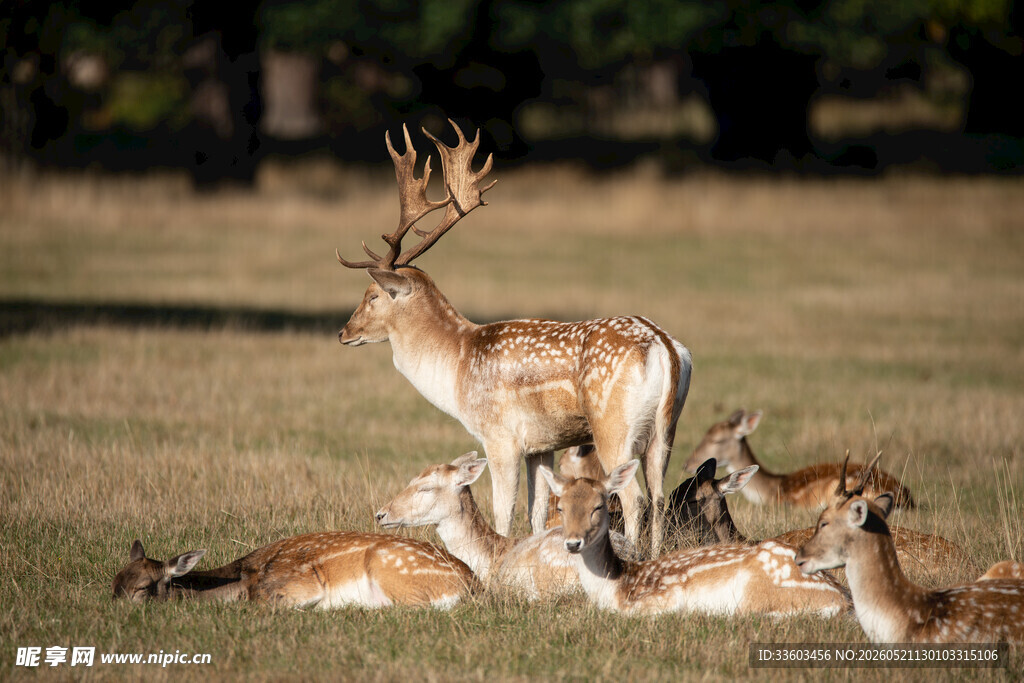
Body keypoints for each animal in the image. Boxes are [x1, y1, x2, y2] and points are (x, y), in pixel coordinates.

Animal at [336, 119, 692, 556]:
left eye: (372, 295)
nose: (343, 332)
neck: (457, 363)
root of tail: (663, 346)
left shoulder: (499, 436)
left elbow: (504, 510)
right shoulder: (541, 446)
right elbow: (536, 514)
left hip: (614, 427)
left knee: (634, 498)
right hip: (665, 428)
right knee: (659, 496)